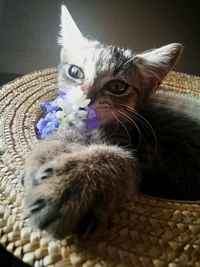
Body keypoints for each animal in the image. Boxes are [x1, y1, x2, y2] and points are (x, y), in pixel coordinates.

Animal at [21, 5, 200, 240]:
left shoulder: (133, 155)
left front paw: (77, 181)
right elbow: (66, 131)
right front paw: (51, 150)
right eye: (75, 72)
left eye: (117, 87)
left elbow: (116, 158)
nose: (86, 98)